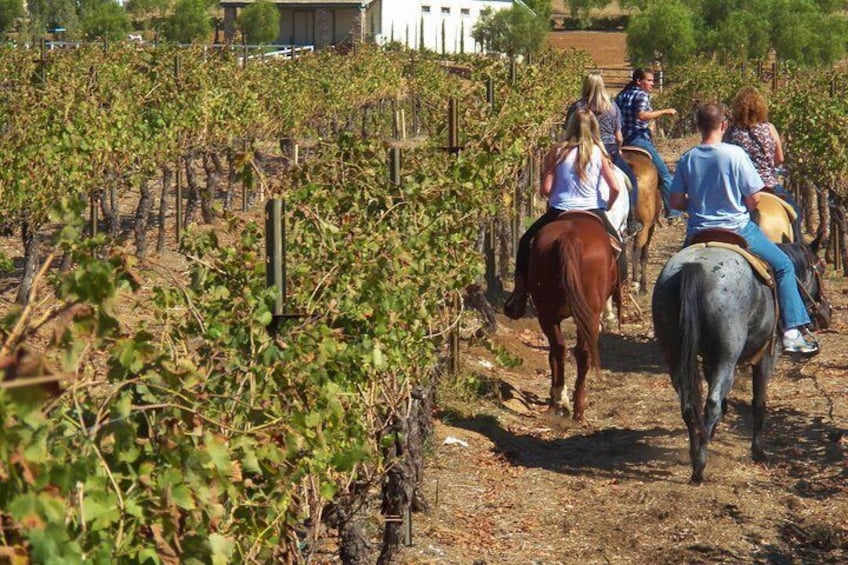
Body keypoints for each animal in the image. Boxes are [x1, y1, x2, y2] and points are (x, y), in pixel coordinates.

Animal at [528, 210, 620, 418]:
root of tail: (569, 237)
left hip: (547, 314)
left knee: (559, 348)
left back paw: (561, 399)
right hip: (587, 316)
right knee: (580, 353)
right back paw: (576, 407)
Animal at [624, 148, 664, 294]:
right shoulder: (651, 226)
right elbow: (644, 254)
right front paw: (643, 285)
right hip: (645, 226)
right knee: (637, 250)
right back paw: (637, 283)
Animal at [652, 236, 832, 482]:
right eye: (820, 268)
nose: (827, 313)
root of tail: (694, 267)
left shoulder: (710, 360)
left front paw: (711, 432)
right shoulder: (766, 357)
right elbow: (758, 403)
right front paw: (758, 452)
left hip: (675, 355)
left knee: (689, 405)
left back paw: (696, 450)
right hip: (727, 357)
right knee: (712, 402)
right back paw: (700, 467)